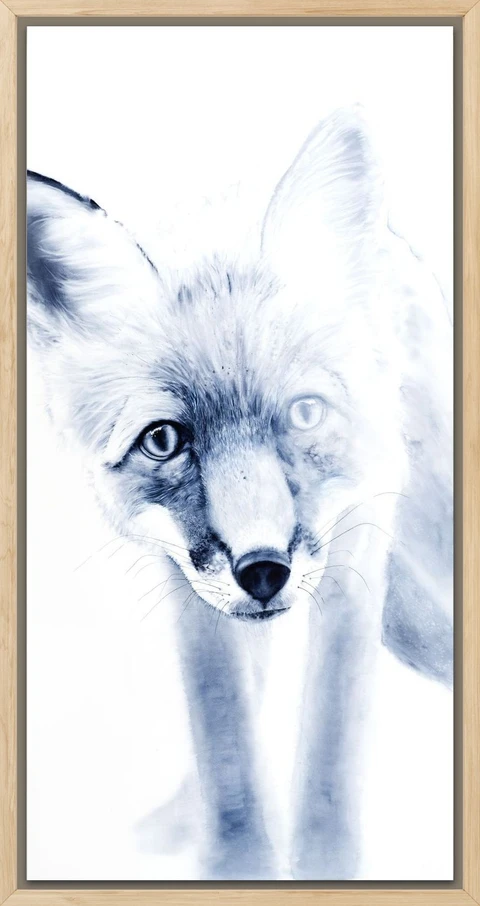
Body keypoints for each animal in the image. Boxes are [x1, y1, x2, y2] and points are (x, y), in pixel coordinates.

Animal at [27, 107, 453, 880]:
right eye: (164, 440)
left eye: (306, 413)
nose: (263, 571)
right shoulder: (185, 580)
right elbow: (225, 734)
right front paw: (238, 863)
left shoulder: (357, 542)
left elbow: (331, 737)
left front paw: (322, 867)